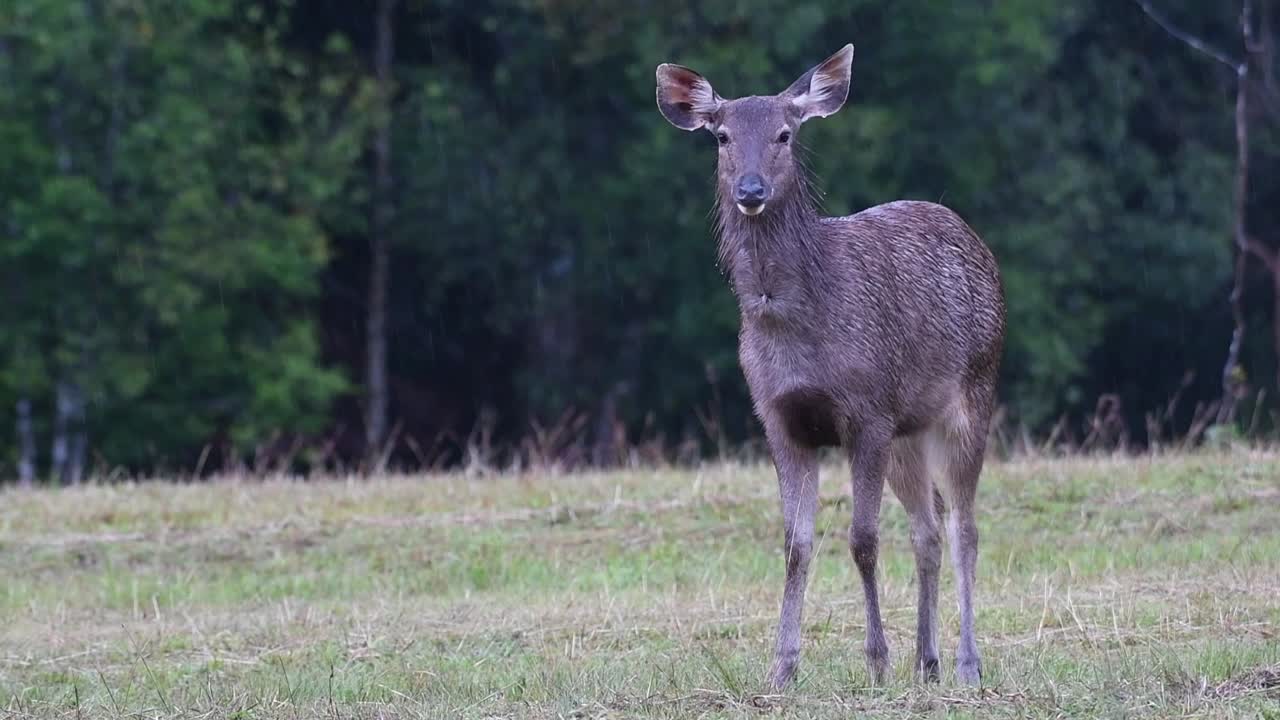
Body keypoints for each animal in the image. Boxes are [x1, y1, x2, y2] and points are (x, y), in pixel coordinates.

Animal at [655, 44, 1005, 689]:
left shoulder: (866, 412)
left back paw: (966, 663)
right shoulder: (780, 419)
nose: (750, 189)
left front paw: (876, 660)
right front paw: (782, 667)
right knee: (928, 527)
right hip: (908, 428)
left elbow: (862, 539)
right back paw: (928, 660)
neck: (795, 330)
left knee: (965, 527)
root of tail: (973, 237)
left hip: (973, 391)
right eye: (721, 135)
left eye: (785, 134)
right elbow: (796, 543)